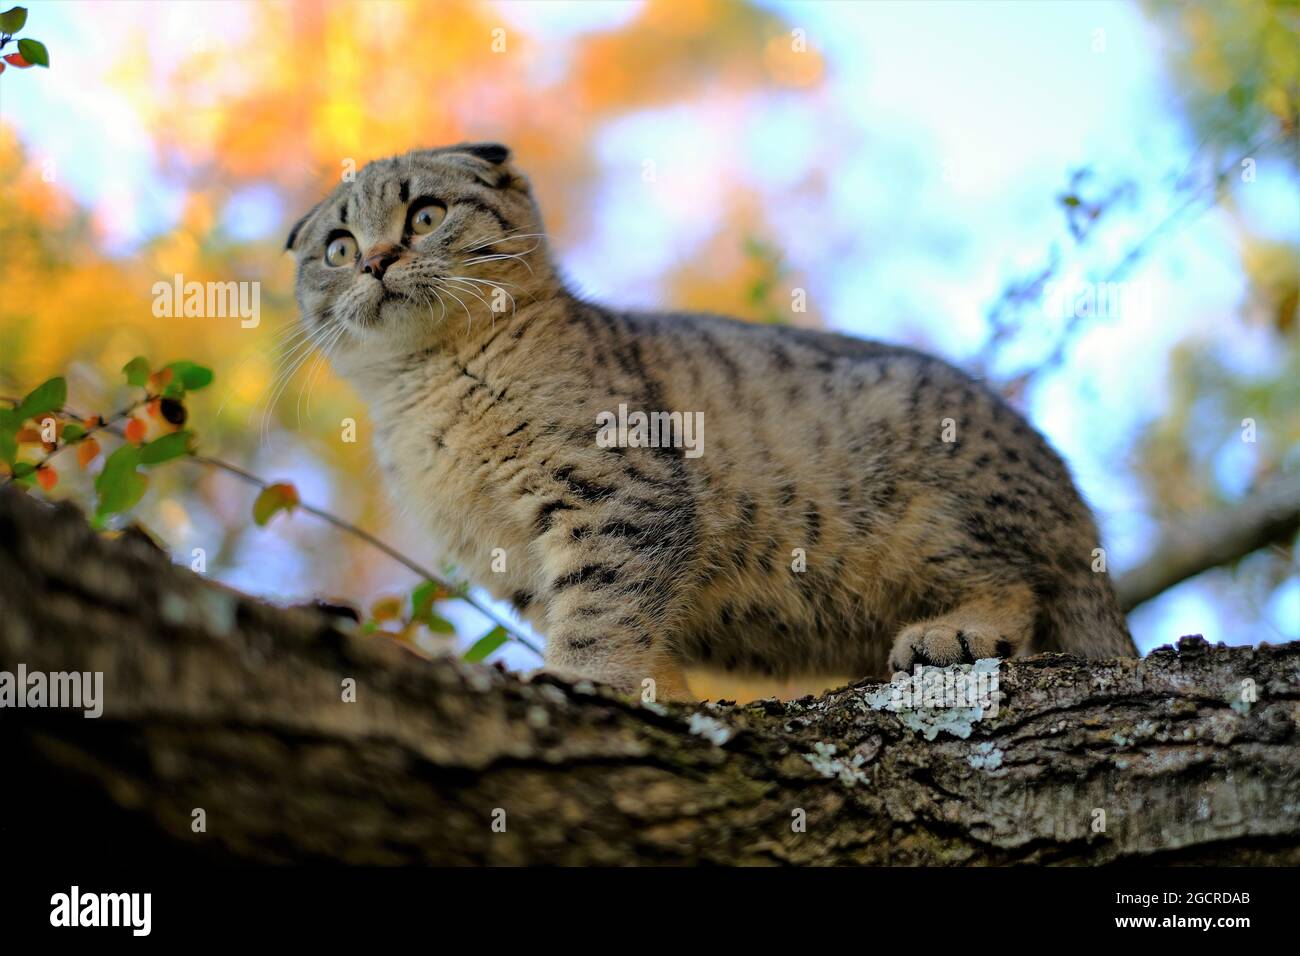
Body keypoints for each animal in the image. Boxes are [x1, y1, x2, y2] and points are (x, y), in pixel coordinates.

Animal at [287, 141, 1138, 697]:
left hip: (925, 512)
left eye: (425, 213)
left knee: (1020, 585)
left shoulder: (617, 490)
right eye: (337, 247)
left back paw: (951, 632)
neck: (428, 388)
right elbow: (630, 627)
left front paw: (580, 682)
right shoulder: (516, 565)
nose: (376, 261)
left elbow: (601, 606)